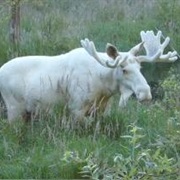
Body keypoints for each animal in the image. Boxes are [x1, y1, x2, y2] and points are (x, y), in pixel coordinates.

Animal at [0, 30, 177, 122]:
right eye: (124, 69)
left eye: (140, 67)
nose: (145, 93)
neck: (105, 87)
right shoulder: (76, 108)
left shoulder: (103, 110)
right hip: (14, 108)